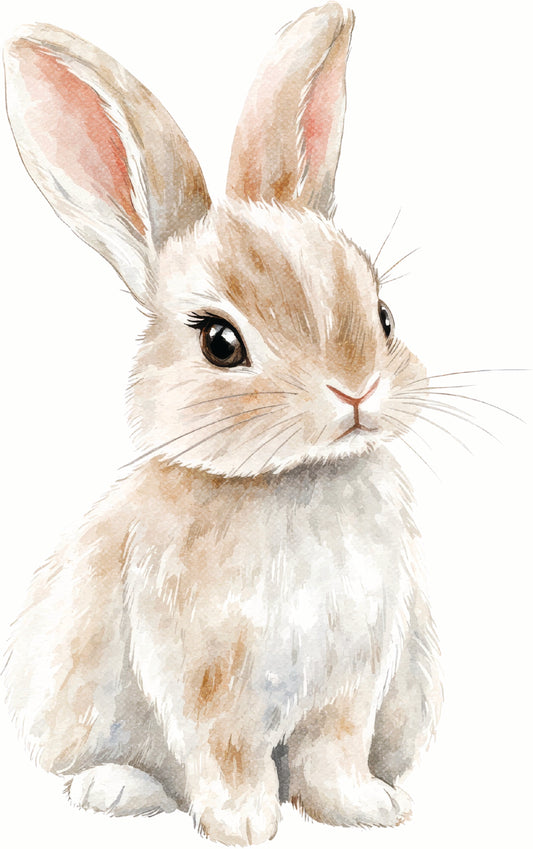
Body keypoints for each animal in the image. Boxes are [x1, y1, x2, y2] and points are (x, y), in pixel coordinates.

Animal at [3, 3, 442, 845]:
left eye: (382, 314)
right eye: (218, 342)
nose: (356, 390)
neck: (291, 479)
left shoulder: (354, 678)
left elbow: (335, 750)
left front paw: (366, 810)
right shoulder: (206, 681)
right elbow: (226, 751)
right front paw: (242, 824)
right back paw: (112, 787)